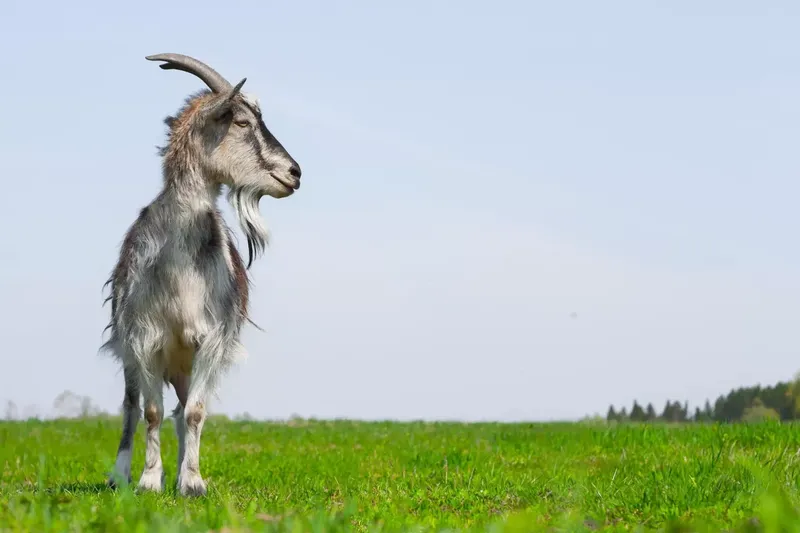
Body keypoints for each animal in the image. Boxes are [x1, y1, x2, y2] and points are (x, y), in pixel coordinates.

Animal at [101, 53, 301, 496]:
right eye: (241, 121)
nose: (295, 173)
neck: (179, 272)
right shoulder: (145, 339)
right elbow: (150, 412)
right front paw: (148, 481)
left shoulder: (210, 340)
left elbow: (193, 412)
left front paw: (191, 481)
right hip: (133, 356)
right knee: (130, 407)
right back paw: (120, 475)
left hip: (185, 364)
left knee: (181, 410)